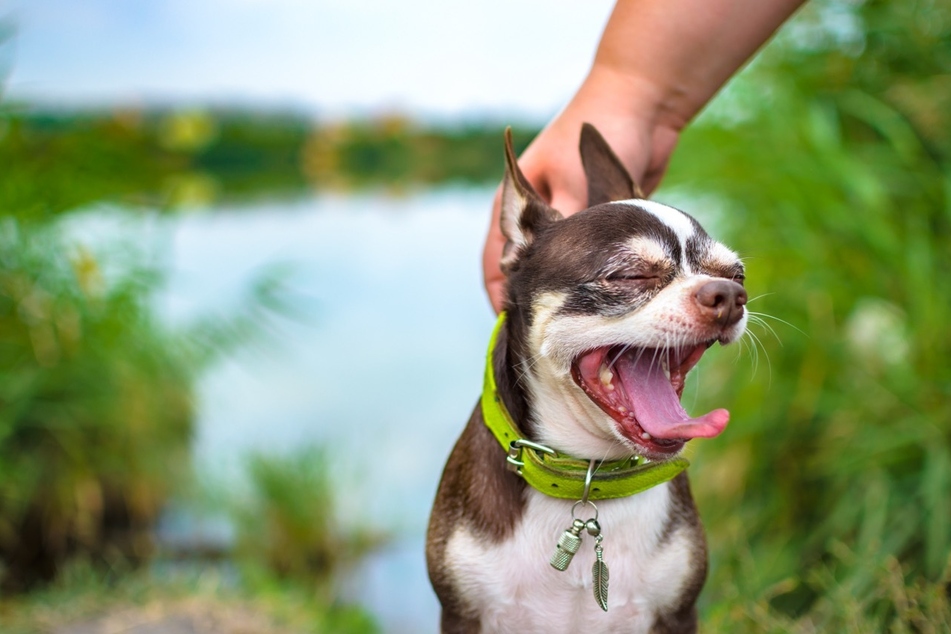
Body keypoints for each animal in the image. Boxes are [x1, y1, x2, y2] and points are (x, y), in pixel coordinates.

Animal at [430, 123, 752, 632]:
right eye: (630, 275)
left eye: (736, 274)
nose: (730, 295)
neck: (584, 475)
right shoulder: (462, 614)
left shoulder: (677, 613)